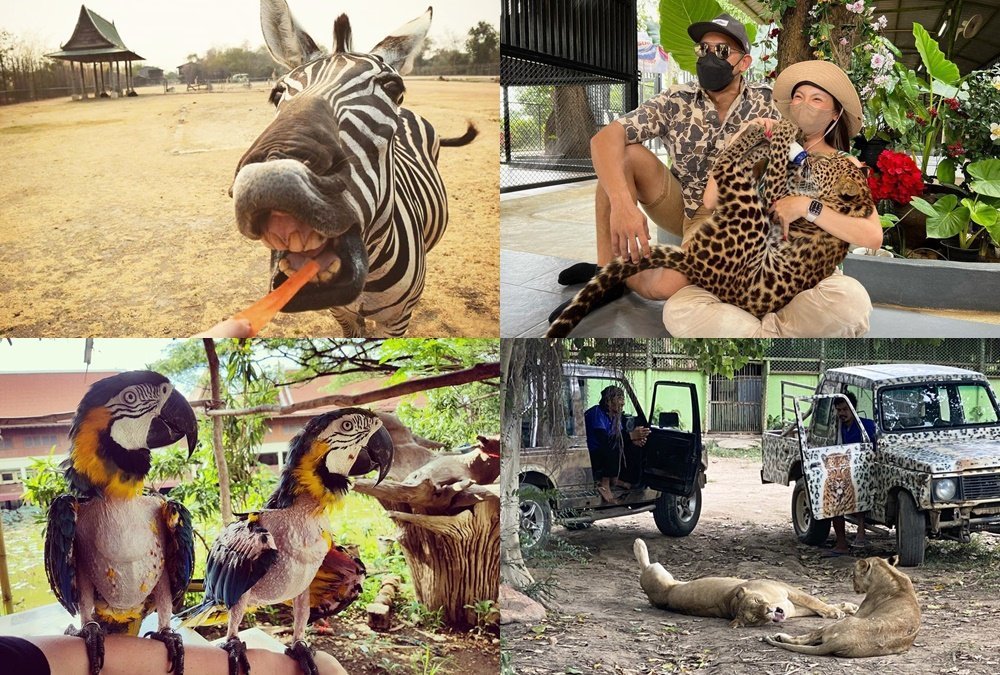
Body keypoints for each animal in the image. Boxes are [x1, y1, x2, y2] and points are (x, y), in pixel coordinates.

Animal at [548, 120, 876, 338]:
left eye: (826, 163)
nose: (810, 157)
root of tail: (694, 264)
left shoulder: (774, 198)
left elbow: (778, 169)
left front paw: (782, 133)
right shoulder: (778, 193)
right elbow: (780, 165)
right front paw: (782, 135)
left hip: (750, 210)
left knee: (724, 165)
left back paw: (759, 135)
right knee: (731, 165)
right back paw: (758, 137)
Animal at [636, 540, 856, 628]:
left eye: (758, 601)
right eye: (754, 618)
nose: (769, 611)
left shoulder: (788, 591)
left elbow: (815, 602)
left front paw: (844, 608)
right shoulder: (791, 602)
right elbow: (815, 604)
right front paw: (838, 611)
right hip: (656, 574)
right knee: (645, 565)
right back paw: (639, 544)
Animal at [764, 556, 920, 656]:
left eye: (853, 575)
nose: (854, 587)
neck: (891, 573)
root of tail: (839, 642)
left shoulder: (861, 611)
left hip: (837, 624)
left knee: (806, 637)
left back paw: (779, 637)